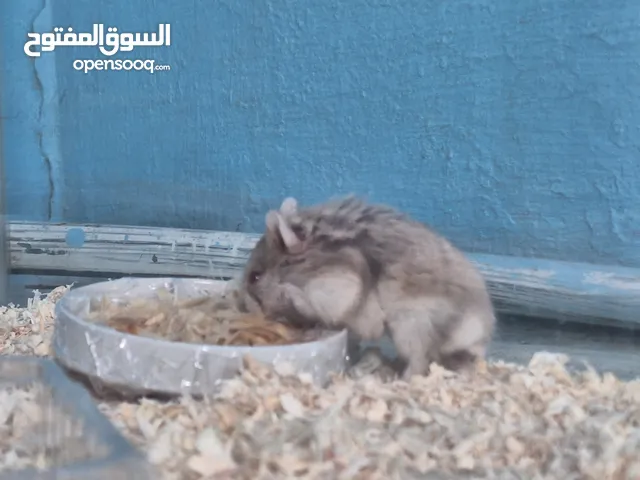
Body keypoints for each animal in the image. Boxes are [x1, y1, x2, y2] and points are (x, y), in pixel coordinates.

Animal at [236, 195, 495, 379]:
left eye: (255, 277)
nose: (246, 309)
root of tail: (480, 335)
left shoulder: (337, 290)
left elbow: (308, 303)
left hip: (412, 327)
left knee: (420, 363)